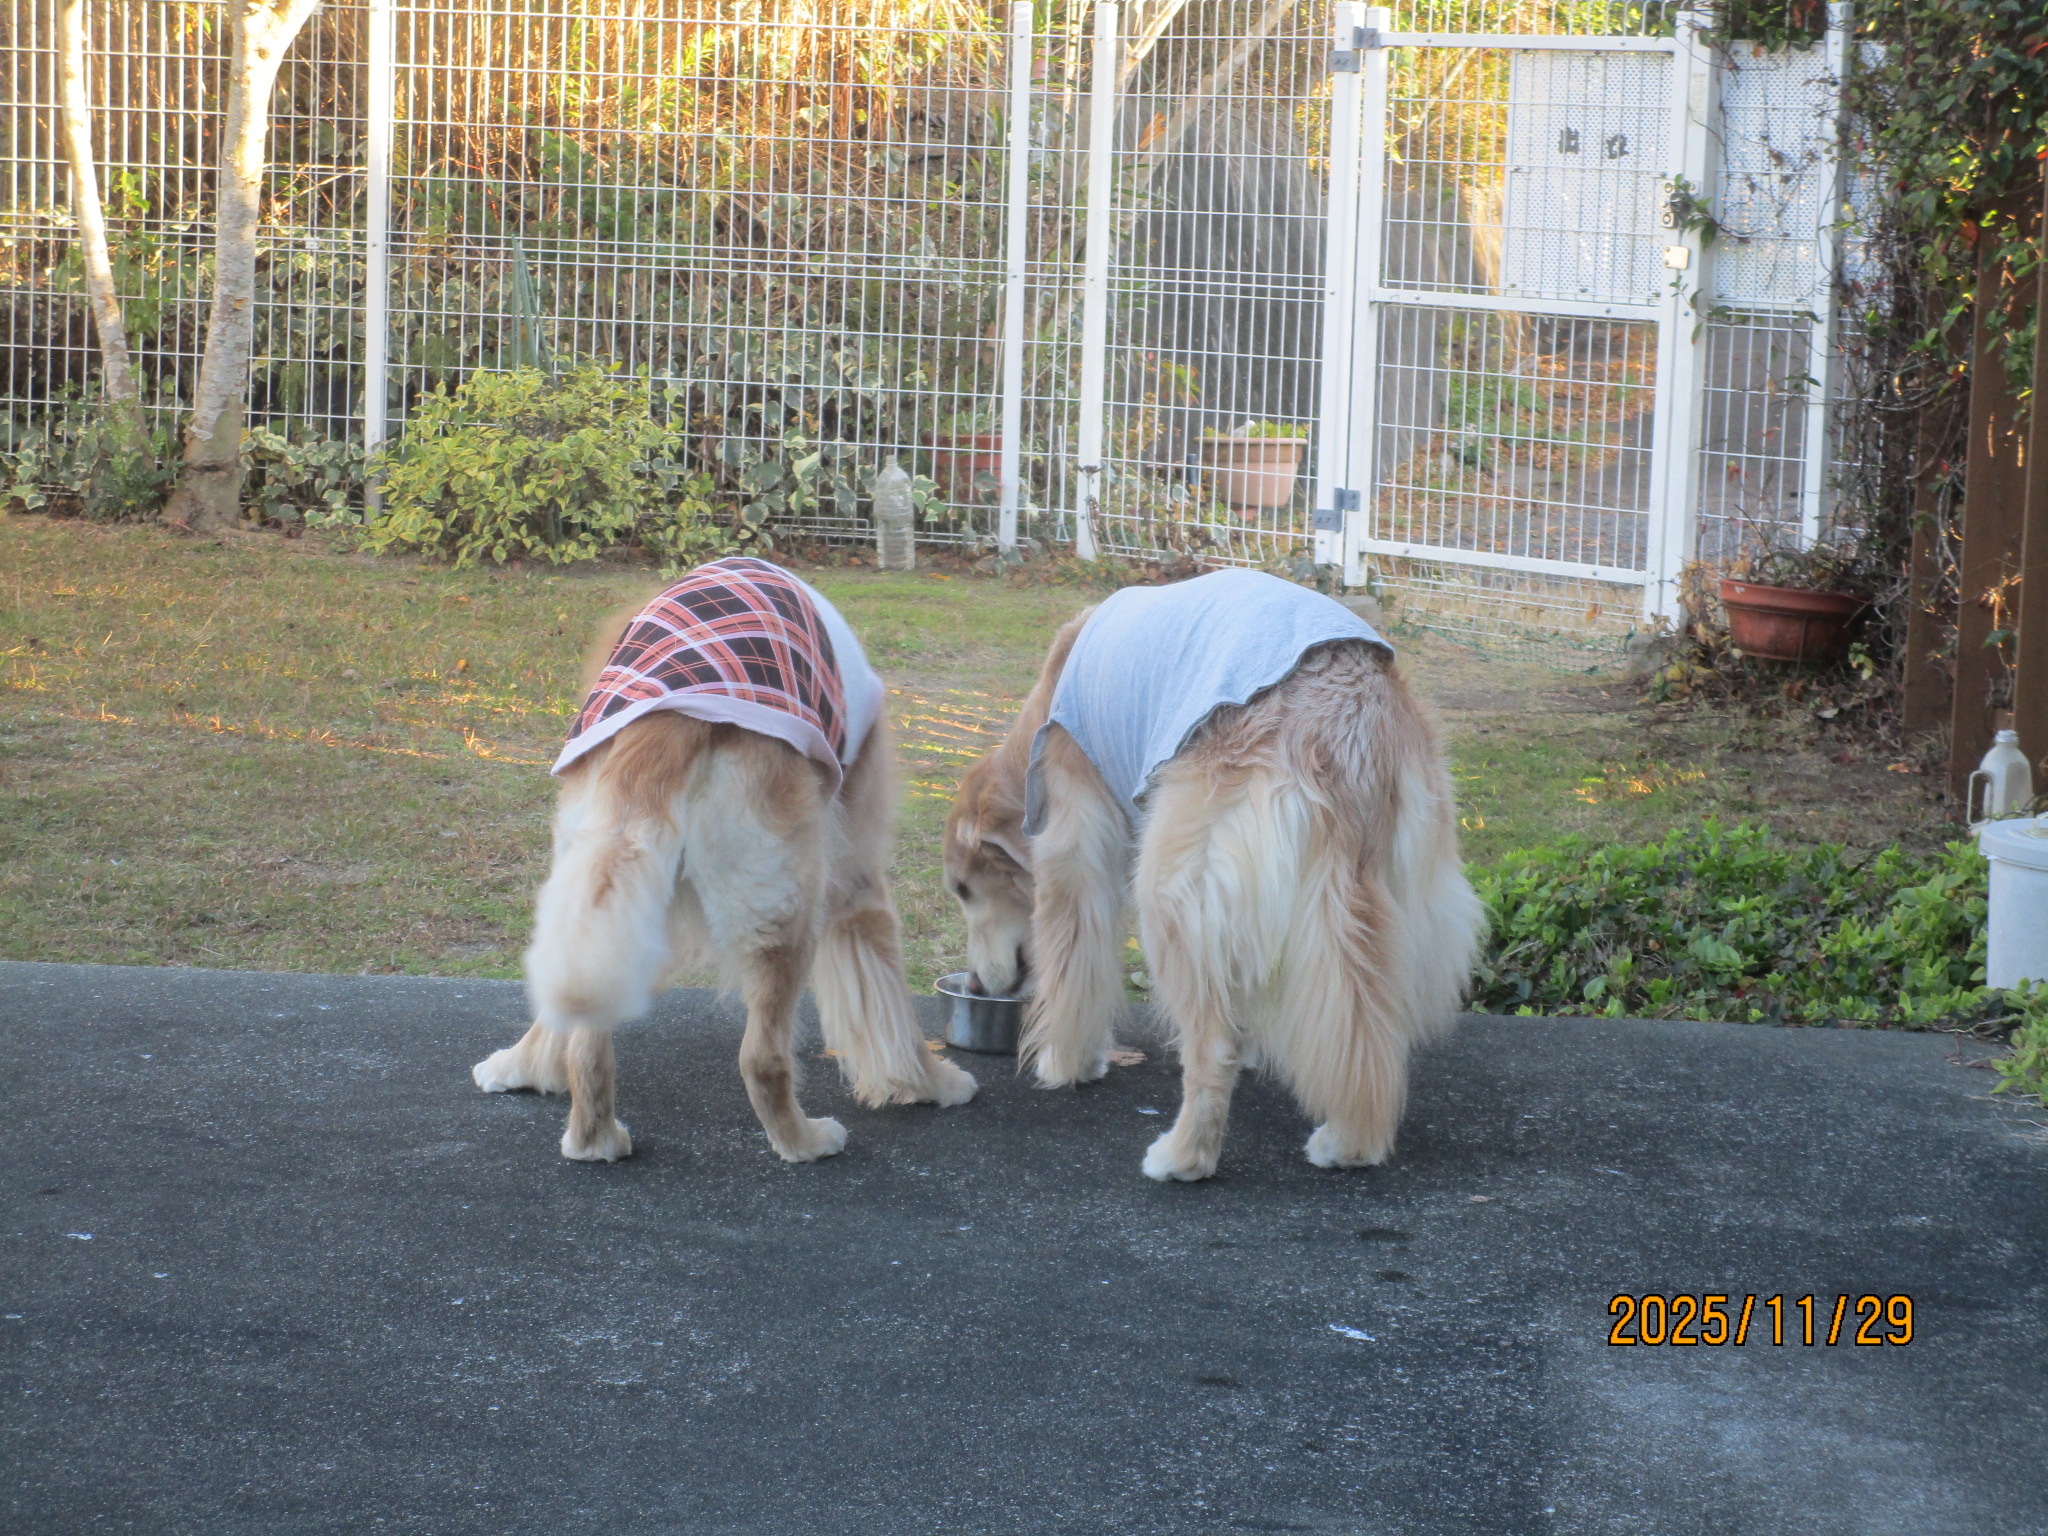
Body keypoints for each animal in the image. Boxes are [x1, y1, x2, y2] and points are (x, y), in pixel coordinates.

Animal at [474, 556, 975, 1162]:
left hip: (608, 879)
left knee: (587, 1042)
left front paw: (523, 1067)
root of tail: (668, 724)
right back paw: (805, 1141)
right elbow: (889, 1005)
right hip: (785, 906)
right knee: (761, 1059)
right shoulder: (855, 876)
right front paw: (930, 1082)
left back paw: (593, 1139)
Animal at [945, 569, 1480, 1181]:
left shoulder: (1070, 846)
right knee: (1368, 1027)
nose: (976, 986)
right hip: (1403, 897)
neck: (1045, 710)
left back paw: (1184, 1155)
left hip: (1174, 882)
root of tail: (1346, 723)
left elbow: (1072, 970)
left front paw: (1067, 1061)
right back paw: (1349, 1140)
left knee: (1210, 1049)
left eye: (964, 891)